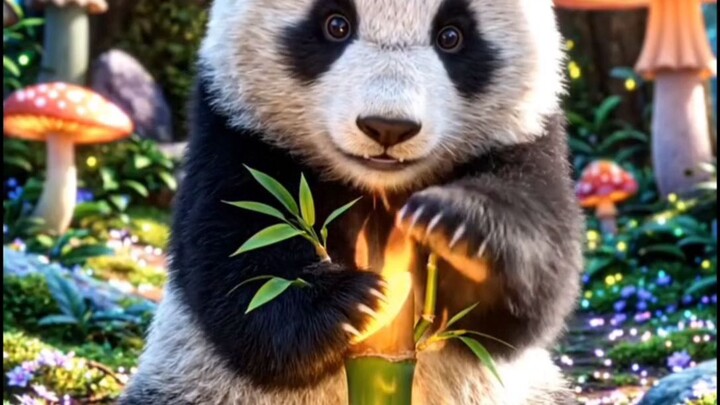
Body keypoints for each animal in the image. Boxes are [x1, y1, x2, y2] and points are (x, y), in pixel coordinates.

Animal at [121, 0, 583, 403]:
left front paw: (461, 237)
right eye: (336, 24)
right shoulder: (236, 133)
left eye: (451, 35)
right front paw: (348, 302)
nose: (388, 127)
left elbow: (529, 296)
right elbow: (236, 266)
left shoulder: (528, 138)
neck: (379, 189)